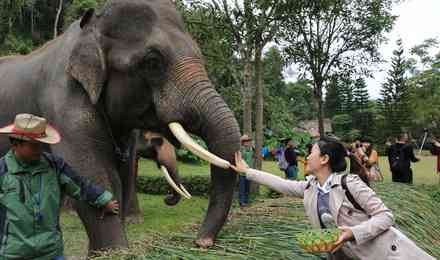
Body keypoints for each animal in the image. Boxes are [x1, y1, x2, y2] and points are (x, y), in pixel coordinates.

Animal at [0, 0, 239, 252]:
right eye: (153, 62)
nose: (201, 242)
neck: (91, 26)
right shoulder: (64, 103)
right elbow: (91, 174)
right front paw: (117, 251)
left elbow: (120, 177)